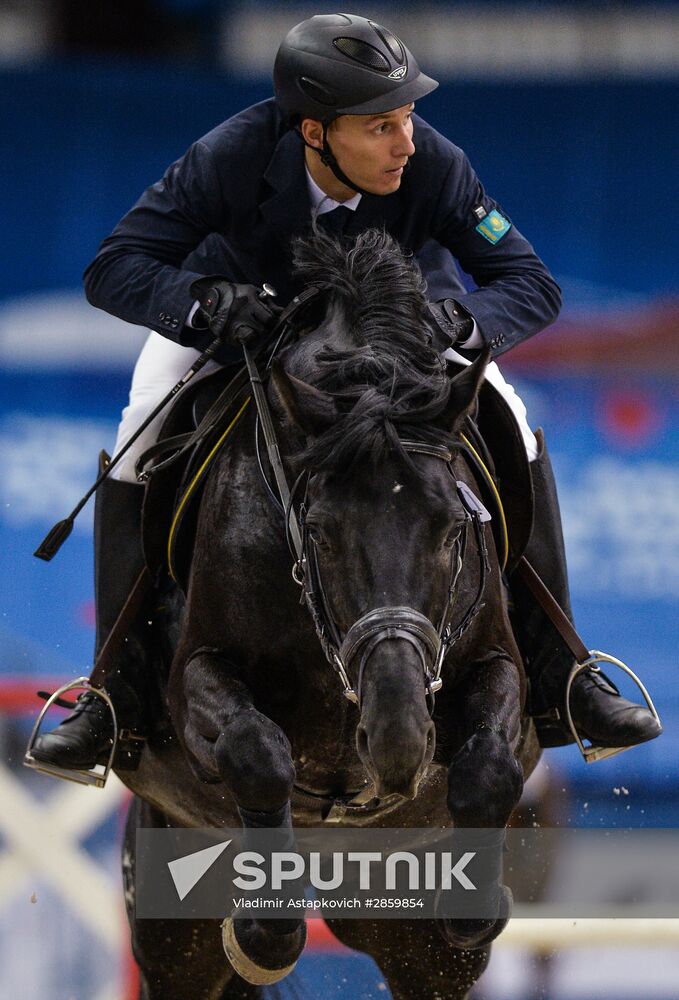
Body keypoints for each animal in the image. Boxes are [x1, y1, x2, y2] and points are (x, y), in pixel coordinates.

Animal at [119, 229, 540, 1000]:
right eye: (317, 532)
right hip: (172, 918)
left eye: (451, 531)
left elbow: (490, 766)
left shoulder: (495, 663)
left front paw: (476, 902)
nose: (397, 741)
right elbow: (255, 750)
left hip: (401, 935)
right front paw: (265, 931)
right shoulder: (196, 671)